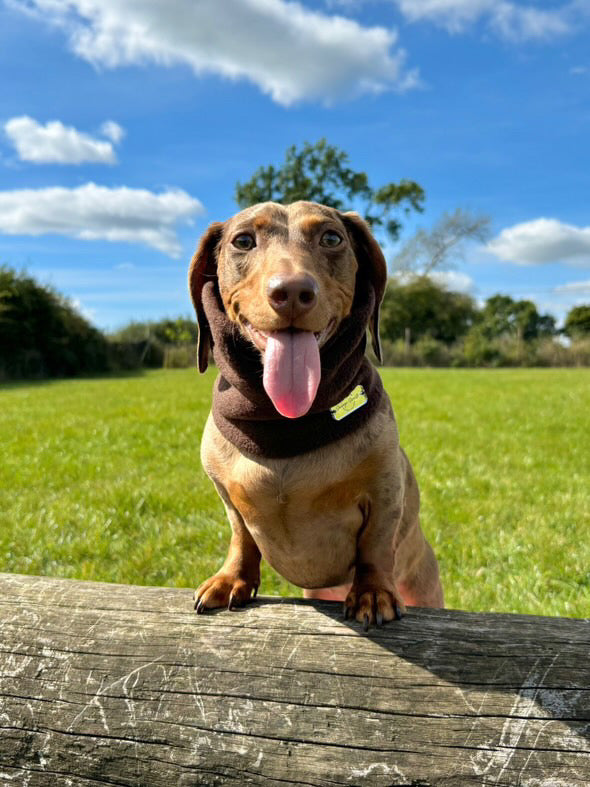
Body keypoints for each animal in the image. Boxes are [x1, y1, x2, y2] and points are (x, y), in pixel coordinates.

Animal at [190, 200, 444, 632]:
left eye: (331, 238)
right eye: (243, 241)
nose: (292, 291)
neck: (287, 424)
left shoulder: (385, 490)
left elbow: (376, 545)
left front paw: (373, 593)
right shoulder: (226, 495)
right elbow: (241, 537)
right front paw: (231, 579)